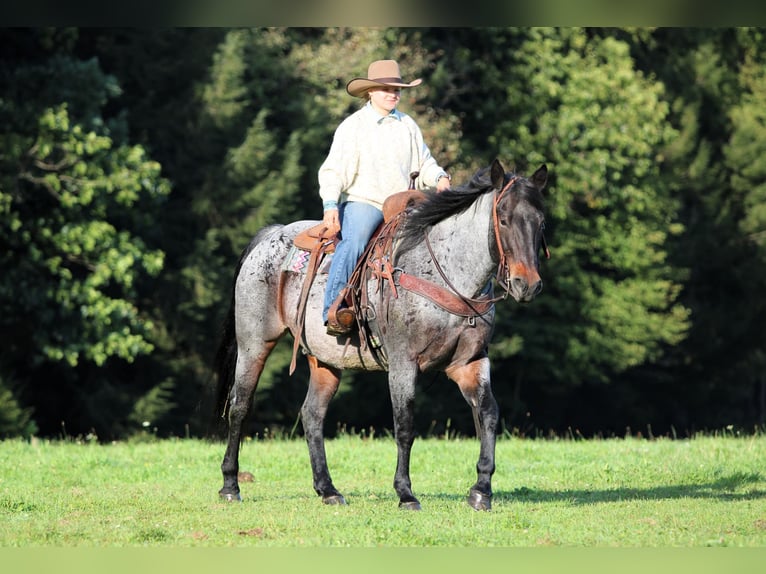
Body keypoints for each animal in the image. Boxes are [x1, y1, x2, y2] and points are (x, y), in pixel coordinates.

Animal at [214, 158, 548, 511]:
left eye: (541, 222)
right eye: (504, 219)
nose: (527, 284)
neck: (447, 273)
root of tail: (270, 235)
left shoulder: (470, 363)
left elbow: (488, 414)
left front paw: (481, 490)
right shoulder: (403, 363)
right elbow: (404, 424)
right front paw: (405, 493)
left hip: (324, 360)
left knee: (312, 415)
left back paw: (328, 489)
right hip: (254, 345)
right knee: (239, 406)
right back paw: (230, 485)